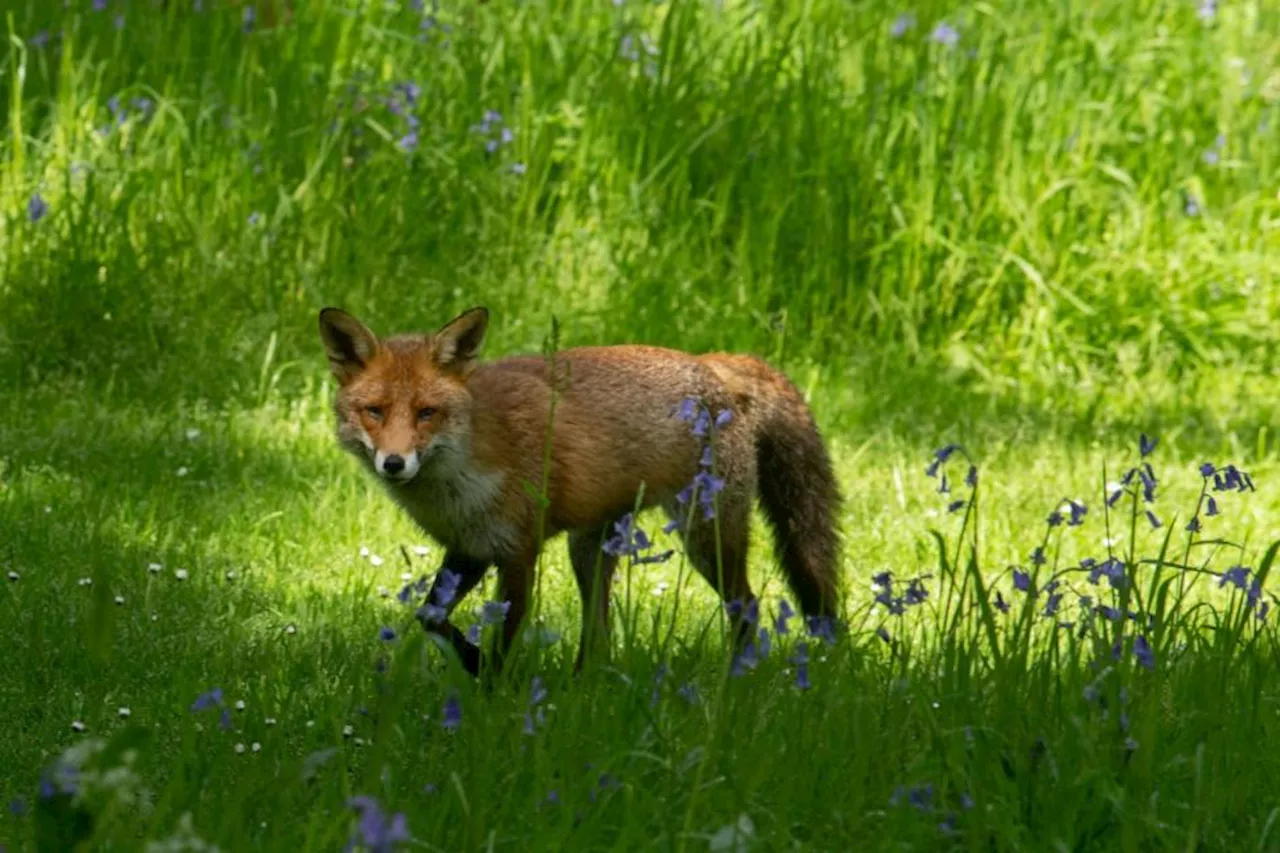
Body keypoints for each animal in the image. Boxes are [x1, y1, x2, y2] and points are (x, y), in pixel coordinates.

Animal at [317, 306, 839, 671]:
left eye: (427, 413)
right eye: (375, 411)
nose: (394, 463)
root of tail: (712, 362)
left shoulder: (518, 551)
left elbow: (505, 640)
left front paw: (492, 693)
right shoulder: (470, 547)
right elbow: (430, 617)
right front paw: (472, 661)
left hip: (706, 536)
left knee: (746, 607)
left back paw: (738, 675)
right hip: (590, 549)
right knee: (599, 633)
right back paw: (582, 686)